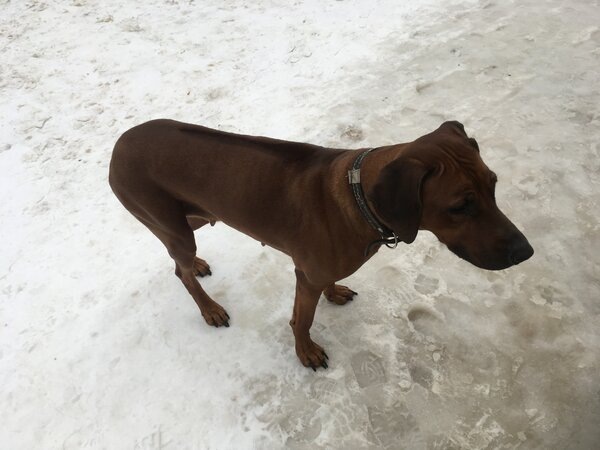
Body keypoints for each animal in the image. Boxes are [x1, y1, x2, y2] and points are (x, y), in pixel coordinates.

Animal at [109, 119, 533, 370]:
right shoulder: (306, 275)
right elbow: (303, 319)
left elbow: (327, 285)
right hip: (171, 224)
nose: (525, 252)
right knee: (179, 270)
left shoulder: (319, 269)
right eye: (460, 206)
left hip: (190, 217)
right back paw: (210, 307)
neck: (359, 197)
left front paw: (335, 292)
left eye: (494, 185)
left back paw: (198, 267)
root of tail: (118, 145)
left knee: (180, 261)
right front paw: (306, 351)